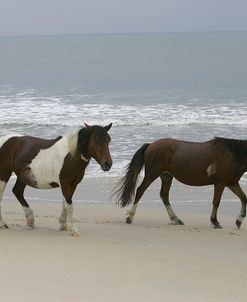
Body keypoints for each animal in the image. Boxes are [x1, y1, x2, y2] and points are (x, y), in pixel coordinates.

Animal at [115, 137, 247, 229]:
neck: (230, 155)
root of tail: (150, 145)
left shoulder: (232, 183)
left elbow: (243, 198)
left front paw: (239, 221)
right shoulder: (220, 183)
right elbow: (216, 202)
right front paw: (215, 222)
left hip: (167, 177)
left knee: (164, 195)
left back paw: (176, 219)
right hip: (152, 175)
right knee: (140, 191)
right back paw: (129, 217)